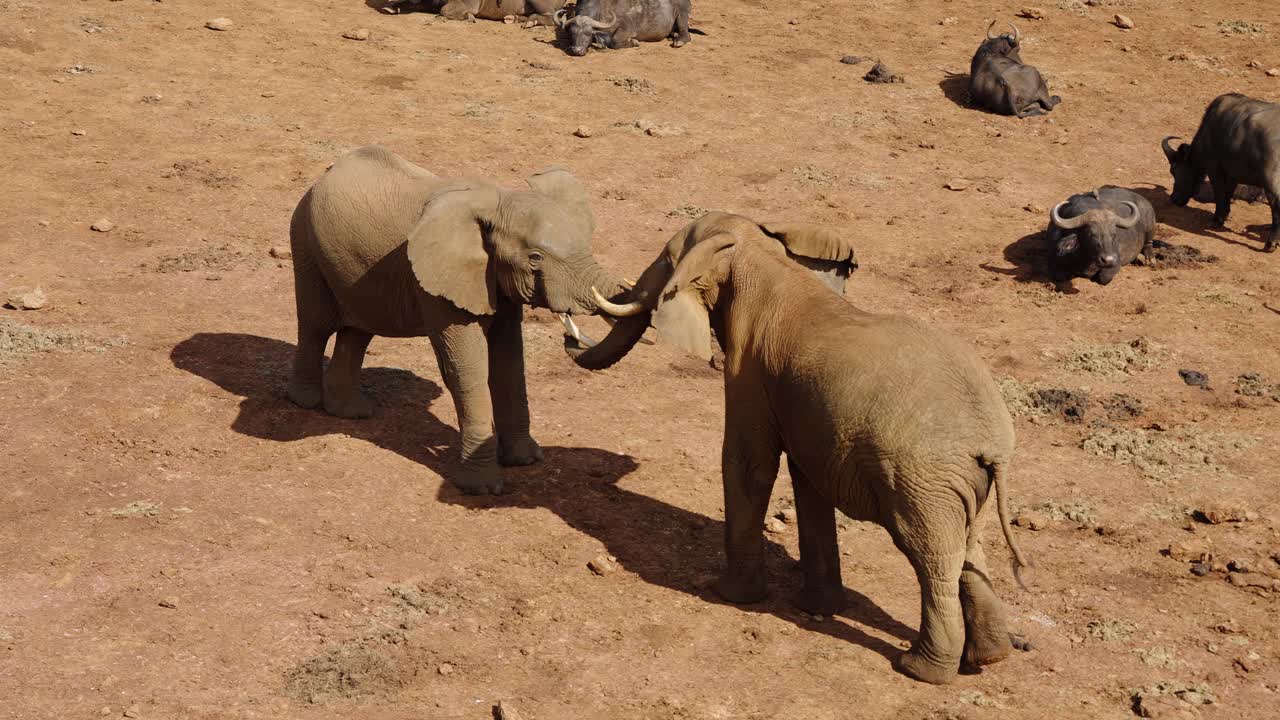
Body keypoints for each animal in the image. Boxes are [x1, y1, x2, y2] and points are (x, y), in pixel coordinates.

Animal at [287, 145, 633, 495]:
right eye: (535, 258)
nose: (570, 336)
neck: (500, 203)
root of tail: (328, 172)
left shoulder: (493, 281)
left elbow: (508, 362)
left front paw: (525, 461)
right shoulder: (439, 282)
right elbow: (468, 368)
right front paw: (482, 489)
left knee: (359, 329)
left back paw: (352, 413)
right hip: (303, 238)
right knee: (317, 325)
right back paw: (306, 401)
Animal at [571, 212, 1031, 684]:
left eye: (665, 259)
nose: (570, 333)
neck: (762, 254)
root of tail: (989, 441)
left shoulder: (749, 368)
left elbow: (749, 463)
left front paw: (728, 594)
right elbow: (807, 480)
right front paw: (816, 607)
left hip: (921, 480)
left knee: (931, 555)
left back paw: (919, 669)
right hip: (956, 482)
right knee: (970, 549)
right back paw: (989, 658)